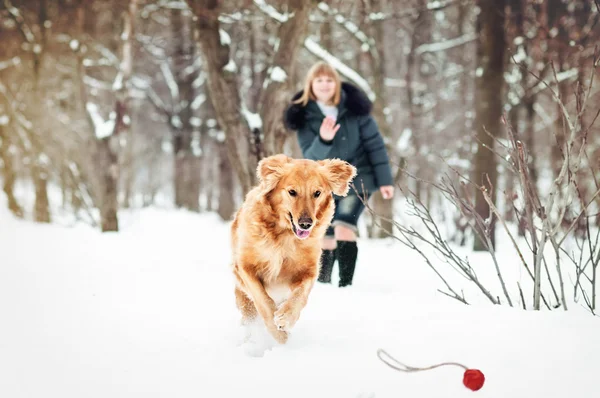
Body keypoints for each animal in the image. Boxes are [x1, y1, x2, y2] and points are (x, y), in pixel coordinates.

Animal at [230, 154, 356, 344]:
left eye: (317, 193)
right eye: (292, 192)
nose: (305, 223)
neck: (284, 236)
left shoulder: (308, 271)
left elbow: (299, 296)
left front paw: (286, 319)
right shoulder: (245, 267)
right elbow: (263, 301)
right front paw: (279, 335)